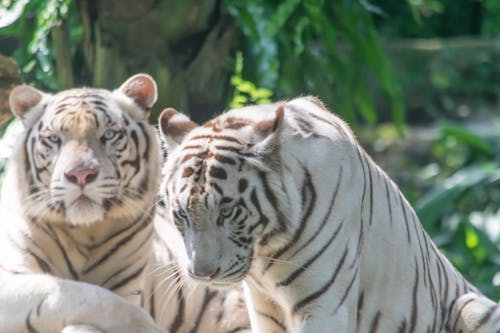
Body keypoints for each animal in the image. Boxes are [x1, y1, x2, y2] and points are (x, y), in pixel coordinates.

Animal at [0, 75, 250, 332]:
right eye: (54, 139)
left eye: (109, 135)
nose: (81, 175)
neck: (85, 232)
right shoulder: (12, 280)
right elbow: (82, 294)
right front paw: (141, 323)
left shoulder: (127, 286)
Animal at [158, 98, 498, 332]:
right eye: (182, 214)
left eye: (227, 210)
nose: (202, 274)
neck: (265, 254)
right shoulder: (264, 310)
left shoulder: (323, 307)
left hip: (475, 307)